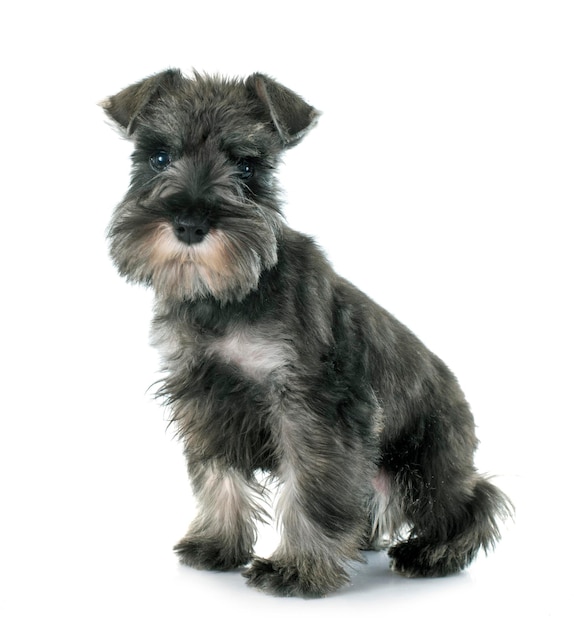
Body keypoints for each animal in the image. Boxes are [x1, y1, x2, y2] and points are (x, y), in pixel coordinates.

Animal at [102, 68, 512, 596]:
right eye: (158, 157)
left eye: (246, 165)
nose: (190, 224)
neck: (229, 294)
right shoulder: (206, 399)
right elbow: (218, 476)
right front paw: (217, 545)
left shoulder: (312, 405)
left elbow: (312, 489)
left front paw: (296, 568)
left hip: (427, 466)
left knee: (472, 501)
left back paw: (431, 553)